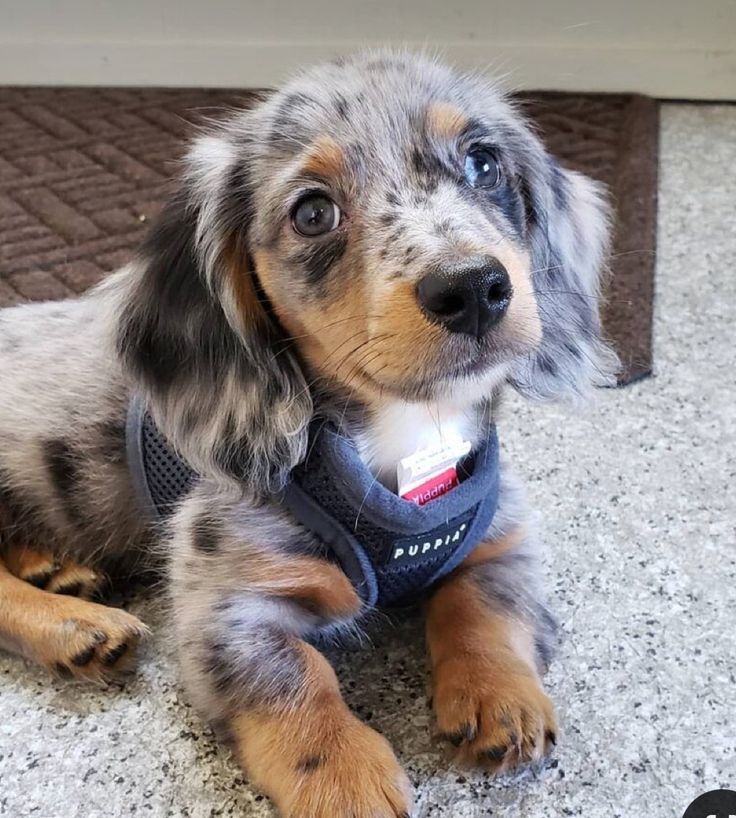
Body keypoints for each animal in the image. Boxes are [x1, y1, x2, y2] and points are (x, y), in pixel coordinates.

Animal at [0, 51, 616, 816]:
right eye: (313, 212)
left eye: (483, 163)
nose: (473, 288)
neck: (406, 441)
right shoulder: (225, 609)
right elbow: (296, 676)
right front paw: (344, 775)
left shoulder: (502, 537)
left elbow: (486, 604)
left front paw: (501, 694)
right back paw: (75, 627)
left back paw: (53, 569)